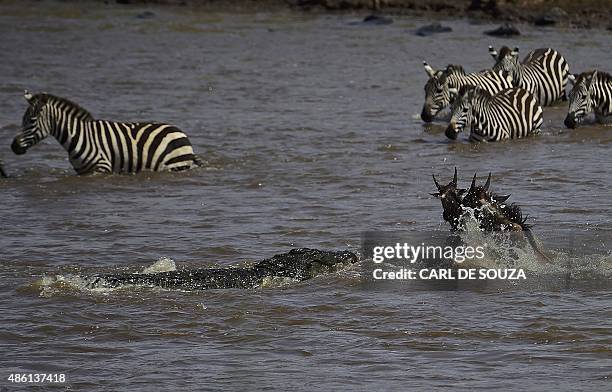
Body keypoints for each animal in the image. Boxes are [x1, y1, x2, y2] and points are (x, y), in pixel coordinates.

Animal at [11, 92, 202, 175]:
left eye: (31, 121)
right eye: (23, 119)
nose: (13, 146)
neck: (78, 136)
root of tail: (178, 131)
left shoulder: (102, 167)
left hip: (175, 166)